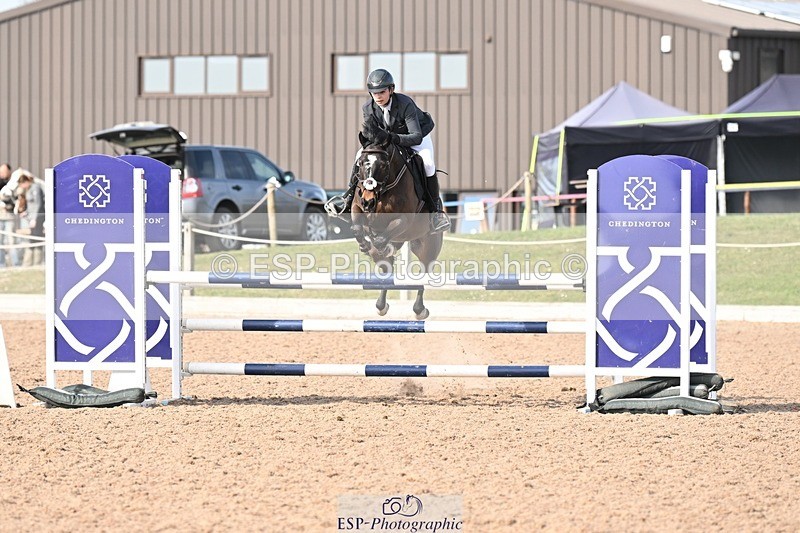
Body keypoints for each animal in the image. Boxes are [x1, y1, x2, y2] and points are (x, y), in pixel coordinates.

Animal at [350, 140, 443, 319]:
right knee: (387, 269)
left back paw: (420, 310)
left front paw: (383, 246)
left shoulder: (404, 220)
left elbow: (382, 238)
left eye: (384, 164)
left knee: (423, 273)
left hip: (428, 246)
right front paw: (365, 245)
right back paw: (381, 306)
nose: (368, 201)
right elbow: (358, 228)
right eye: (360, 163)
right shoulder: (357, 207)